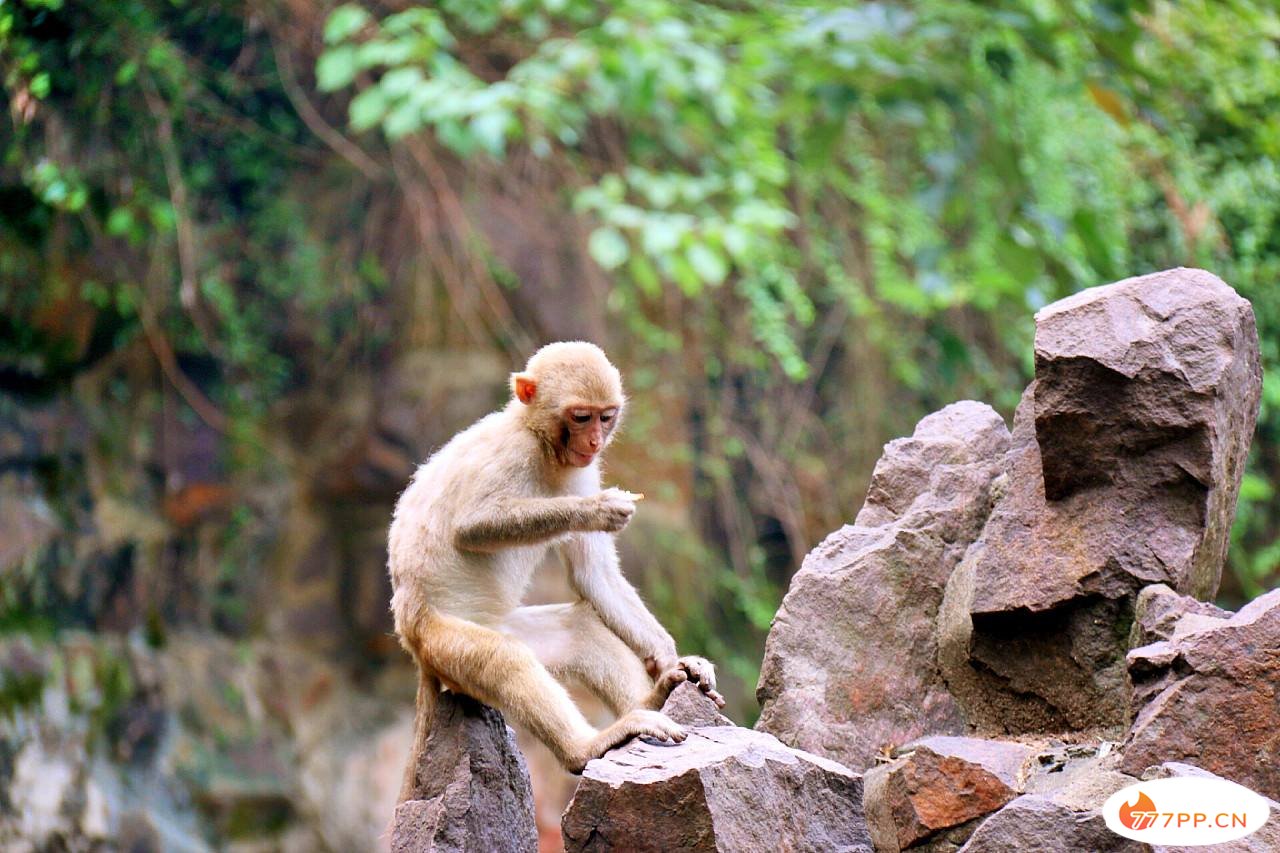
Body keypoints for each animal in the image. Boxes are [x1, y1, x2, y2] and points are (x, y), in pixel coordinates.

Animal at [384, 340, 727, 799]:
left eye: (606, 415)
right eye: (580, 416)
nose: (596, 439)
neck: (541, 442)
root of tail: (413, 640)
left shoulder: (584, 466)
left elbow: (594, 575)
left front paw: (671, 659)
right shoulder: (511, 453)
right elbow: (471, 526)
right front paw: (593, 509)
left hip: (494, 631)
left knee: (577, 630)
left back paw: (652, 699)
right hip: (442, 641)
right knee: (503, 658)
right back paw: (587, 746)